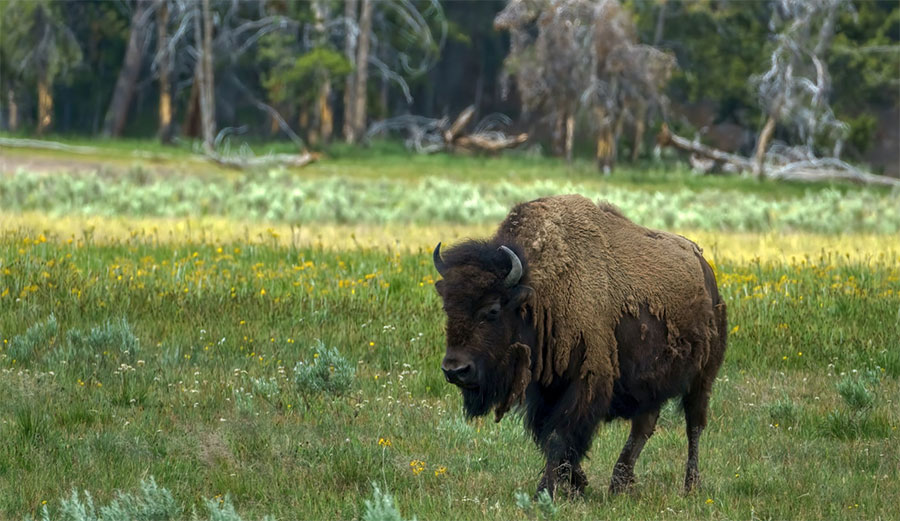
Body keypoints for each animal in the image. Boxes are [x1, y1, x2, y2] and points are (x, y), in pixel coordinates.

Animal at [433, 194, 727, 497]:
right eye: (447, 307)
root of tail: (705, 268)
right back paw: (619, 484)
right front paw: (577, 485)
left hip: (702, 376)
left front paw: (545, 492)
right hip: (652, 381)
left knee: (694, 425)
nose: (455, 370)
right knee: (644, 425)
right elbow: (548, 436)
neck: (539, 292)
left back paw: (690, 486)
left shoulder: (586, 381)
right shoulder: (546, 389)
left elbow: (559, 436)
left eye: (492, 310)